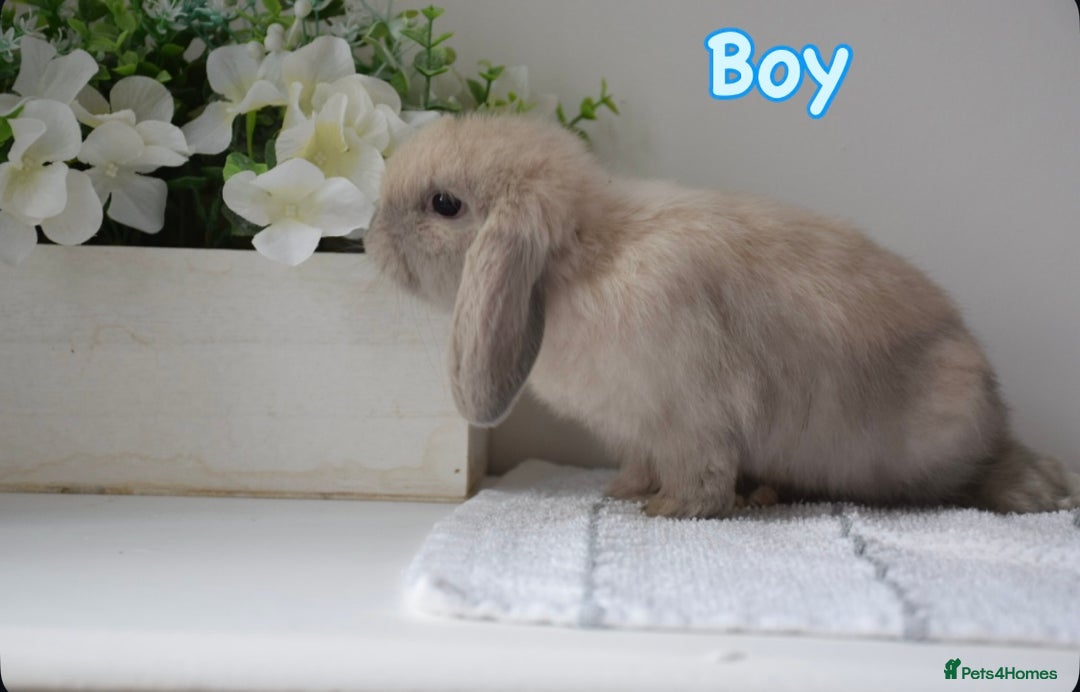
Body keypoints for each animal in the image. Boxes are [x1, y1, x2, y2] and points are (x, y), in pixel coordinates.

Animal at [365, 114, 1080, 518]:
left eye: (445, 204)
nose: (368, 240)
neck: (584, 260)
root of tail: (991, 400)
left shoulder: (692, 416)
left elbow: (699, 476)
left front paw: (669, 511)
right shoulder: (640, 430)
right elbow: (642, 463)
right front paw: (622, 493)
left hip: (943, 439)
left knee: (991, 469)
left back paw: (1037, 494)